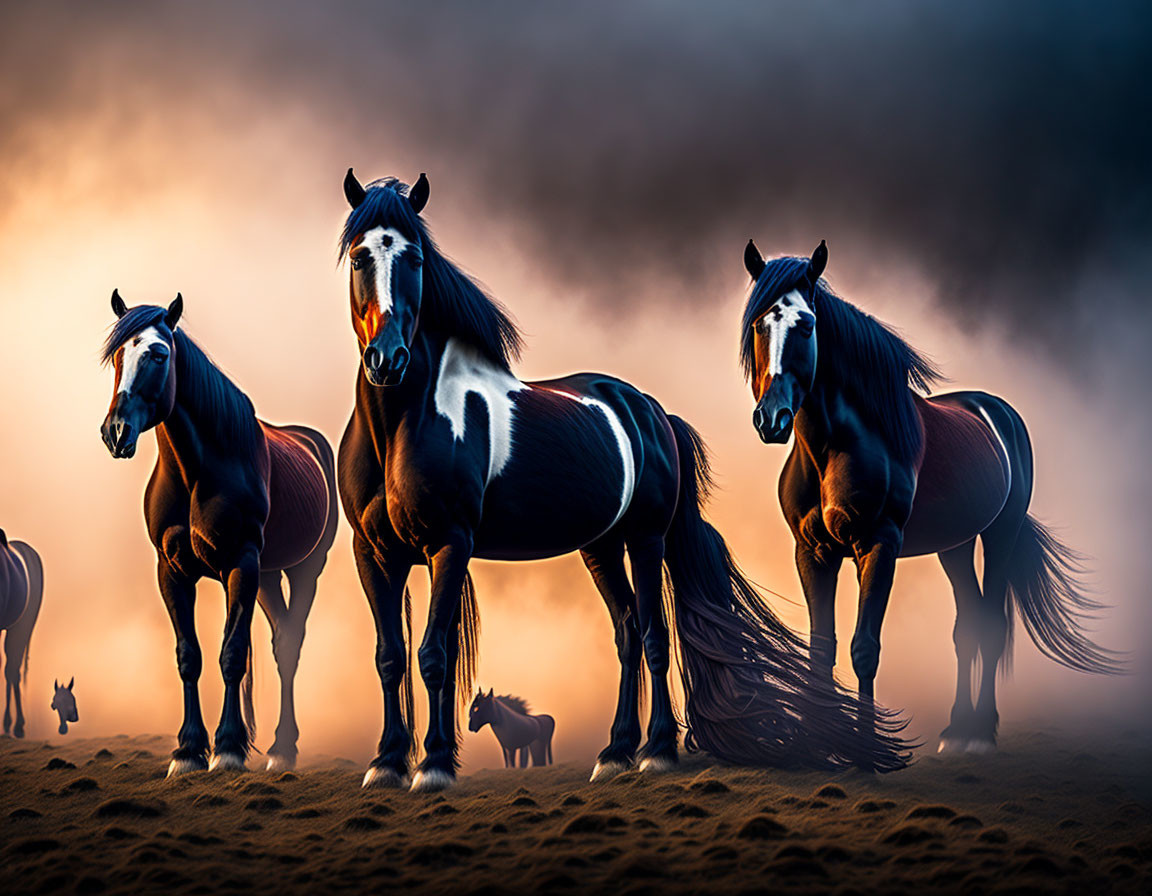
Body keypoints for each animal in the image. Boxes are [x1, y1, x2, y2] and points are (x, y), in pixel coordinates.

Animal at [99, 290, 336, 769]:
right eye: (117, 355)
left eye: (158, 354)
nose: (116, 432)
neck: (196, 473)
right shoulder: (172, 571)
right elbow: (189, 656)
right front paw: (188, 750)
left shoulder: (239, 566)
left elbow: (232, 654)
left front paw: (227, 748)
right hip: (268, 576)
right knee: (281, 639)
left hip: (302, 569)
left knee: (290, 644)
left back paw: (283, 749)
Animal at [334, 168, 907, 787]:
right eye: (361, 257)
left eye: (414, 259)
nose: (387, 359)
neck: (403, 424)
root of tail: (651, 411)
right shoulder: (373, 553)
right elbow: (389, 656)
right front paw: (387, 762)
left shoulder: (448, 544)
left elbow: (434, 654)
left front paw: (435, 763)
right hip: (601, 547)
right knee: (628, 634)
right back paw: (615, 751)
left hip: (645, 539)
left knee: (654, 636)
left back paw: (655, 749)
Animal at [737, 239, 1124, 755]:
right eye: (759, 324)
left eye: (806, 325)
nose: (771, 419)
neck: (834, 446)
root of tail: (997, 410)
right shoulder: (813, 552)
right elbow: (822, 649)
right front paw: (819, 748)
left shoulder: (878, 546)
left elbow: (864, 649)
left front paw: (865, 753)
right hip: (954, 545)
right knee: (967, 626)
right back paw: (956, 730)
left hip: (1000, 533)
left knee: (991, 625)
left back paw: (980, 733)